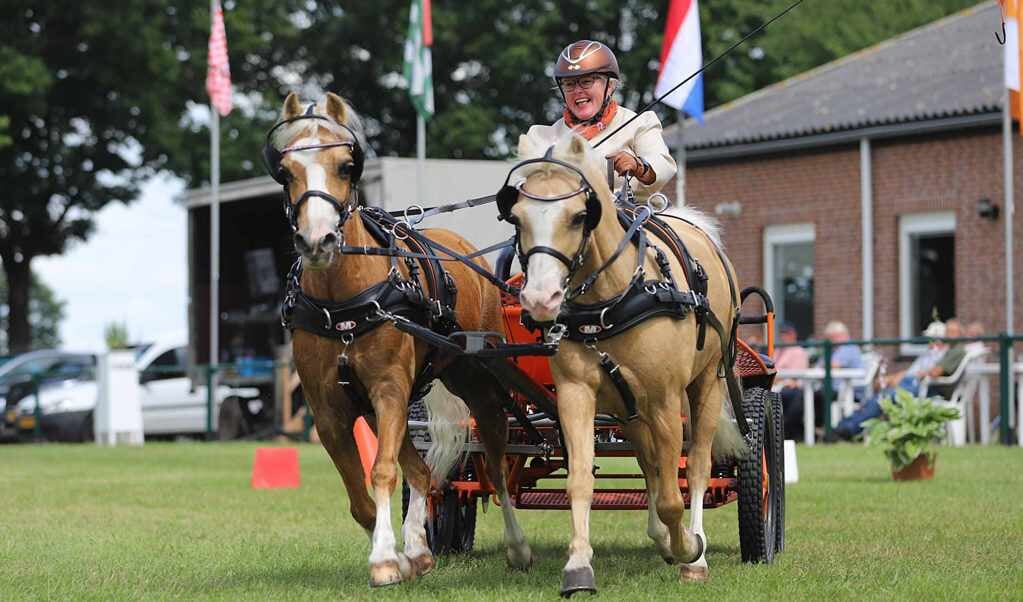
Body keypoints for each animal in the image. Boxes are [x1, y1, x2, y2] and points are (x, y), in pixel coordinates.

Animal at [268, 91, 531, 585]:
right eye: (287, 171)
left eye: (346, 166)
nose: (318, 241)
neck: (344, 303)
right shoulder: (329, 409)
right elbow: (360, 493)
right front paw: (401, 553)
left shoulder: (389, 390)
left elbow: (384, 471)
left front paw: (387, 558)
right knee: (423, 471)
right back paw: (421, 546)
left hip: (476, 379)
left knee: (496, 460)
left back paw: (518, 546)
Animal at [503, 133, 744, 593]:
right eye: (518, 218)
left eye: (580, 216)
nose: (540, 300)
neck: (611, 302)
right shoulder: (576, 394)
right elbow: (582, 479)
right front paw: (578, 566)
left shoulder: (665, 399)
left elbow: (672, 495)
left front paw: (689, 547)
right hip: (628, 406)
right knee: (650, 461)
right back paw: (663, 540)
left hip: (706, 382)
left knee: (697, 465)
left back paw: (695, 550)